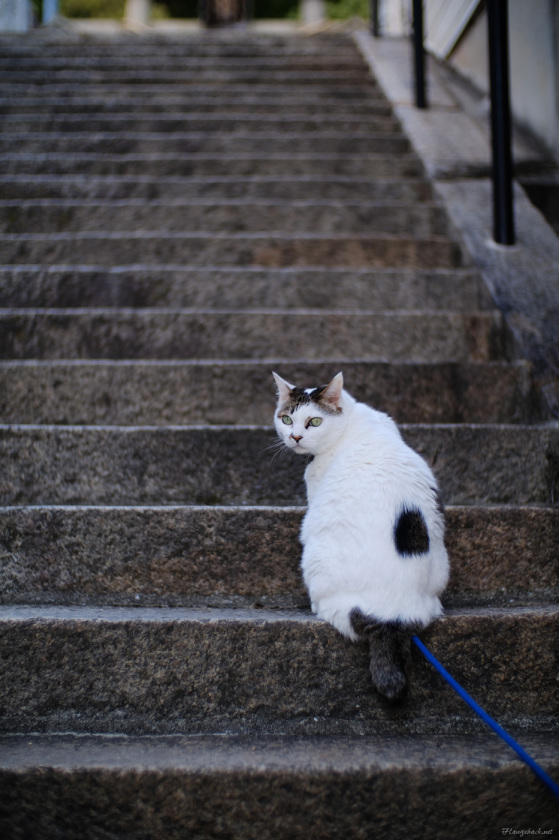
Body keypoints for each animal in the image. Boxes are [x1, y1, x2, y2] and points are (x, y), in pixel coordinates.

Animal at [272, 370, 450, 700]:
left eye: (315, 421)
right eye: (287, 419)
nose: (295, 437)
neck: (350, 422)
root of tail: (391, 618)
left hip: (315, 555)